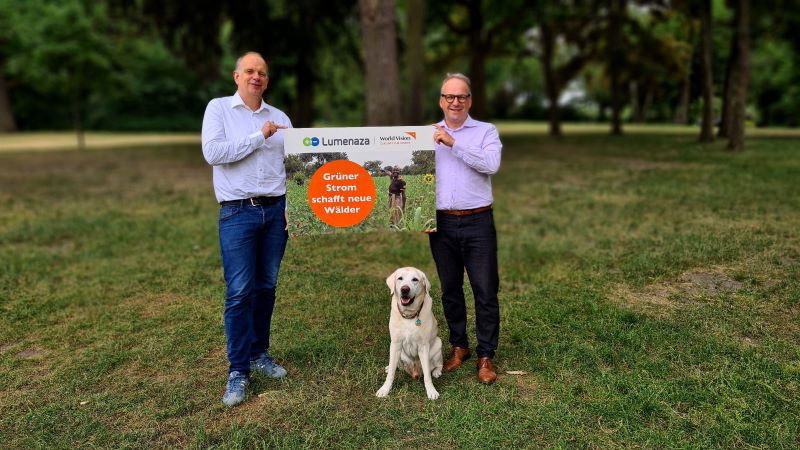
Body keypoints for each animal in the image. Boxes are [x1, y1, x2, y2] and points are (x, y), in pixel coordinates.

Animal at [376, 266, 444, 400]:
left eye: (415, 279)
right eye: (400, 278)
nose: (405, 289)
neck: (409, 315)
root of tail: (414, 371)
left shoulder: (423, 346)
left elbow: (427, 375)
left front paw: (431, 390)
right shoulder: (395, 343)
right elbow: (391, 373)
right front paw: (385, 389)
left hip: (438, 344)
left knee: (438, 364)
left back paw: (437, 371)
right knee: (397, 365)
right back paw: (391, 367)